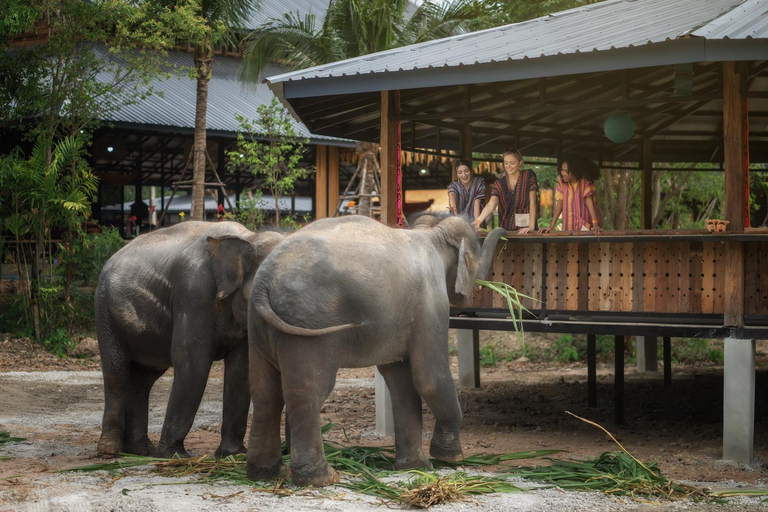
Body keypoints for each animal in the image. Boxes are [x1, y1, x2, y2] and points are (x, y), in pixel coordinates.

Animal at [94, 219, 284, 456]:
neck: (249, 237)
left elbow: (241, 369)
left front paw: (233, 454)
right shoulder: (194, 295)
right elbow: (193, 364)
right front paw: (173, 456)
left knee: (144, 379)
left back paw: (141, 450)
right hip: (105, 312)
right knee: (117, 373)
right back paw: (110, 450)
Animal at [246, 214, 508, 486]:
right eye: (476, 253)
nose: (502, 228)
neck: (432, 233)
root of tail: (264, 281)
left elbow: (401, 380)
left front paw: (415, 467)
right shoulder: (432, 305)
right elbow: (429, 378)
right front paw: (450, 457)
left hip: (257, 326)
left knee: (266, 394)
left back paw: (266, 474)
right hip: (306, 325)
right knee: (308, 392)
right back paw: (322, 479)